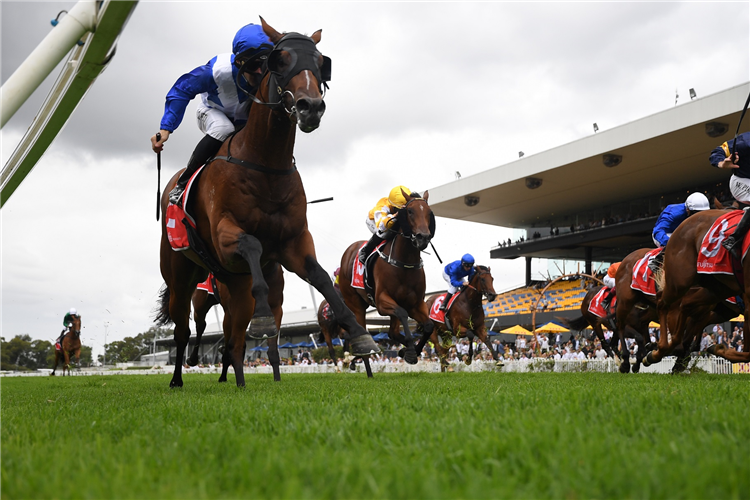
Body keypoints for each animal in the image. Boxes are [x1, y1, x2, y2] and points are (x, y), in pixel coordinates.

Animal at [155, 18, 378, 390]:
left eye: (321, 62)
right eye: (281, 59)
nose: (310, 106)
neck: (265, 165)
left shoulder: (294, 243)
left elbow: (321, 278)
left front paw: (360, 334)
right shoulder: (225, 236)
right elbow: (252, 244)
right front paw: (262, 321)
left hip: (232, 283)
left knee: (232, 339)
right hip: (181, 275)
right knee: (185, 328)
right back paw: (177, 378)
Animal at [340, 189, 438, 376]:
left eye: (429, 212)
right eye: (410, 211)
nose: (422, 237)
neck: (405, 263)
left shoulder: (416, 303)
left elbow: (429, 326)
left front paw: (409, 351)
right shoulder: (381, 302)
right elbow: (402, 313)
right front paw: (409, 351)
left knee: (392, 332)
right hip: (355, 304)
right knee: (364, 331)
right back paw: (365, 368)